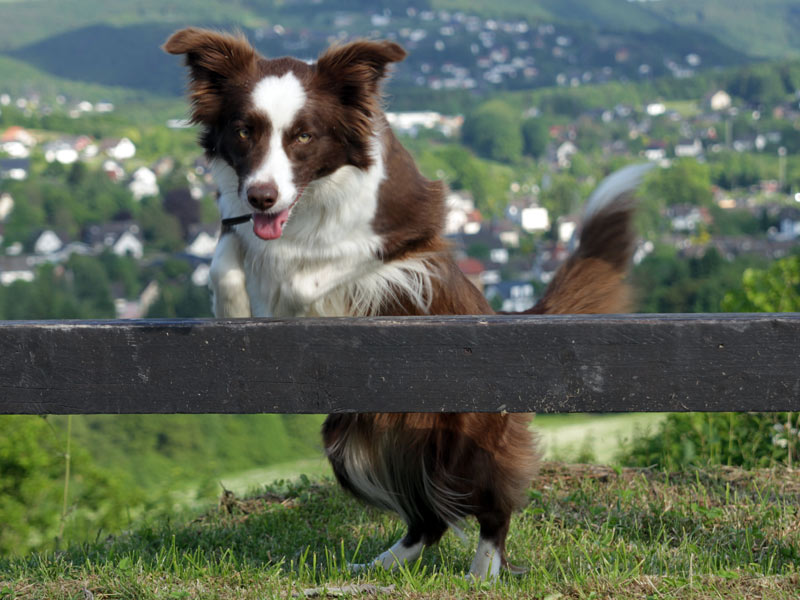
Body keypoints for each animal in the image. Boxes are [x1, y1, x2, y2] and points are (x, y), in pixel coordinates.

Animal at [166, 29, 652, 580]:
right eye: (244, 131)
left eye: (304, 136)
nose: (263, 196)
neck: (313, 196)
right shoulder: (239, 216)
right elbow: (227, 256)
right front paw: (232, 306)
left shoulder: (411, 233)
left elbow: (312, 272)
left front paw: (284, 294)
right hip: (358, 442)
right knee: (428, 516)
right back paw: (376, 568)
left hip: (465, 444)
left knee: (491, 504)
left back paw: (482, 572)